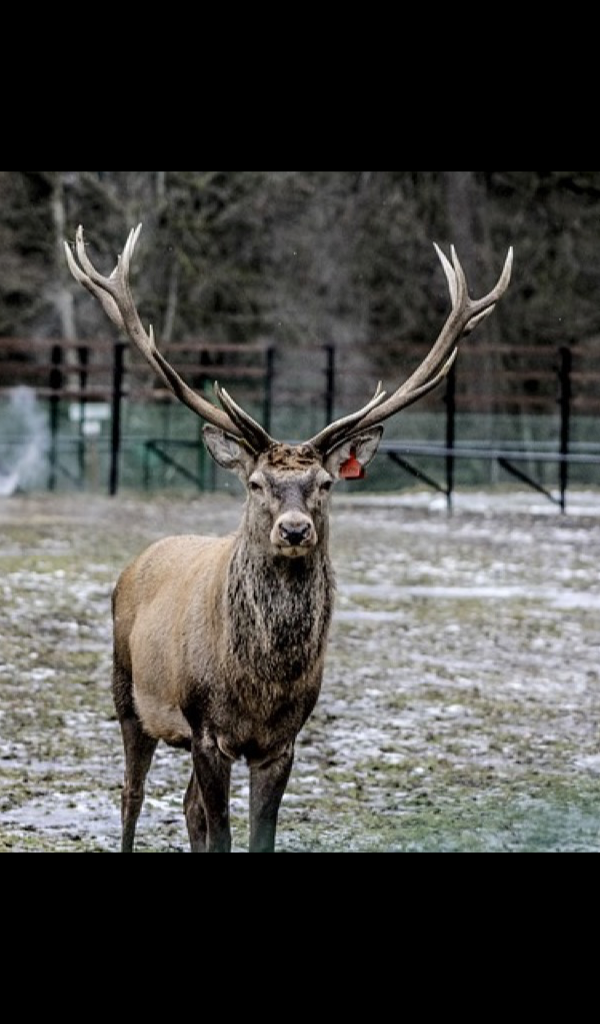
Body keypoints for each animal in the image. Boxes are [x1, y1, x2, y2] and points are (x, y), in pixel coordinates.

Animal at [65, 225, 513, 854]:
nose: (295, 529)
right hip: (127, 692)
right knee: (131, 795)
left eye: (324, 482)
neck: (262, 684)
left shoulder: (282, 741)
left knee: (186, 807)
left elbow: (255, 835)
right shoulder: (206, 728)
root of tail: (137, 561)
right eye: (257, 483)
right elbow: (221, 834)